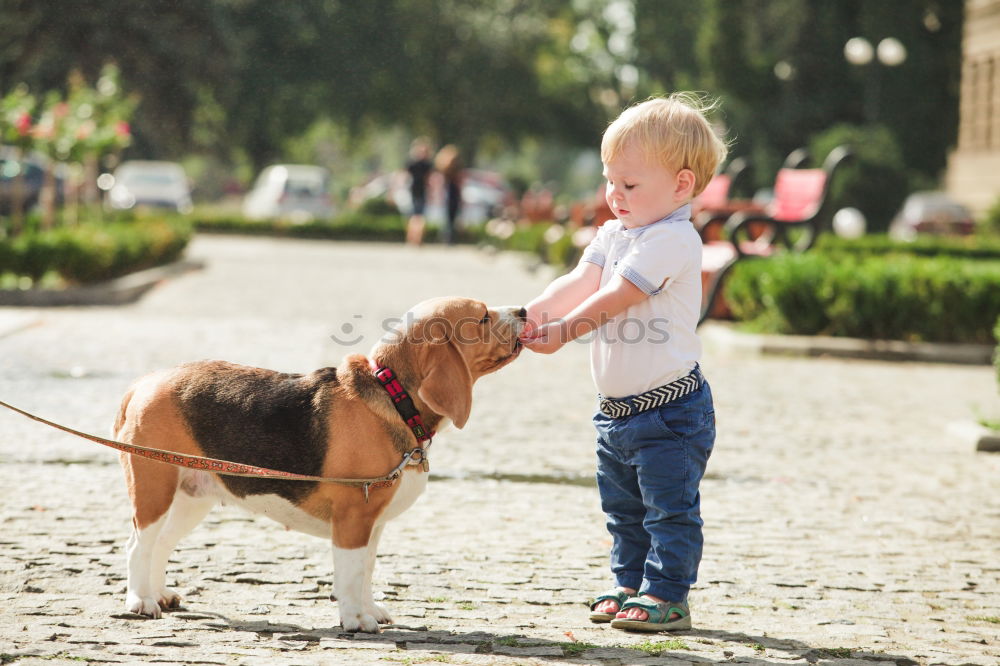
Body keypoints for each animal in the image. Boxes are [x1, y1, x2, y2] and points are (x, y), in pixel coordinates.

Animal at [114, 298, 528, 632]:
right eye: (482, 316)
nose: (524, 311)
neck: (393, 397)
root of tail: (145, 382)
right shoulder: (353, 519)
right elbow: (350, 574)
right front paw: (355, 619)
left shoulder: (372, 524)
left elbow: (366, 571)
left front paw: (369, 610)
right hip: (154, 491)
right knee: (138, 544)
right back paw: (141, 601)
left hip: (191, 498)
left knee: (160, 543)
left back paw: (159, 593)